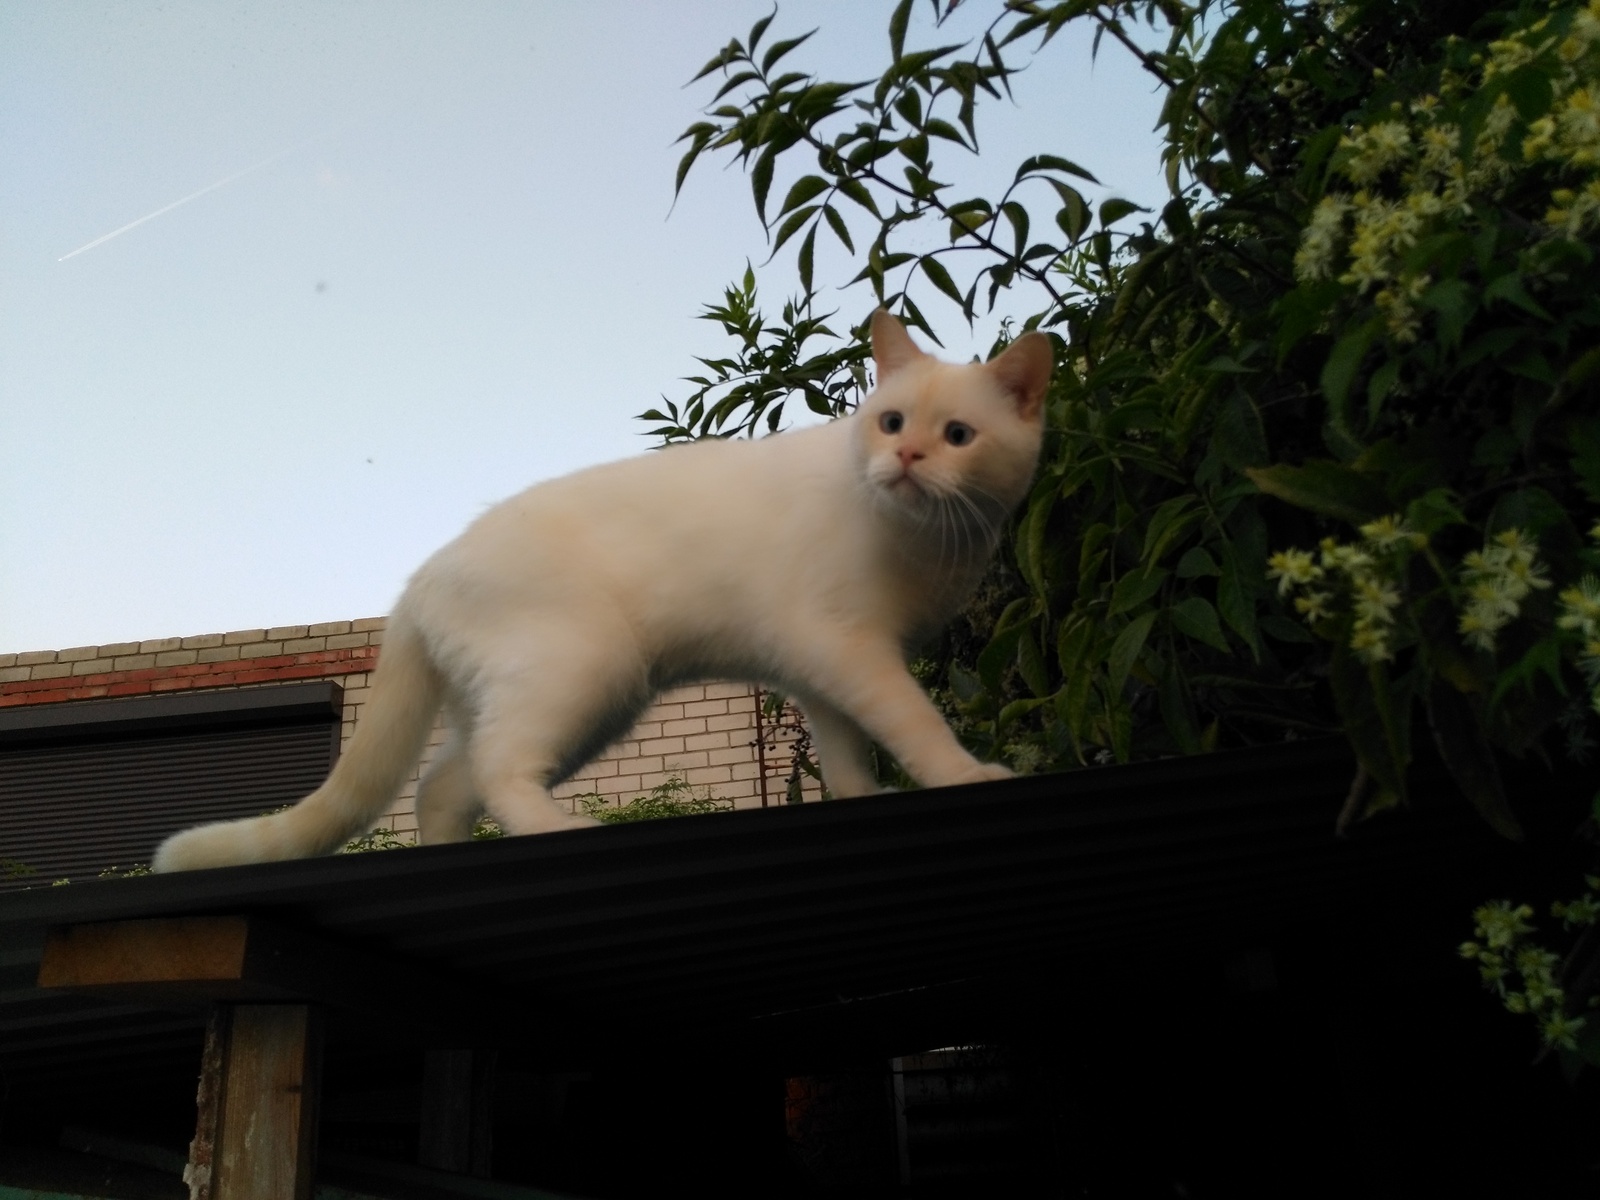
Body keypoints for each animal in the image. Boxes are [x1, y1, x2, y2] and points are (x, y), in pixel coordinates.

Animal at [150, 312, 1049, 876]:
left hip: (555, 694)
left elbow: (846, 755)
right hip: (587, 671)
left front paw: (861, 797)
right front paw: (966, 773)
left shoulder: (818, 669)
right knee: (500, 771)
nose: (906, 461)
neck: (927, 537)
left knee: (445, 784)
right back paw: (557, 826)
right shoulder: (851, 649)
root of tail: (422, 574)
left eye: (957, 437)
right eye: (892, 423)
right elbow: (913, 722)